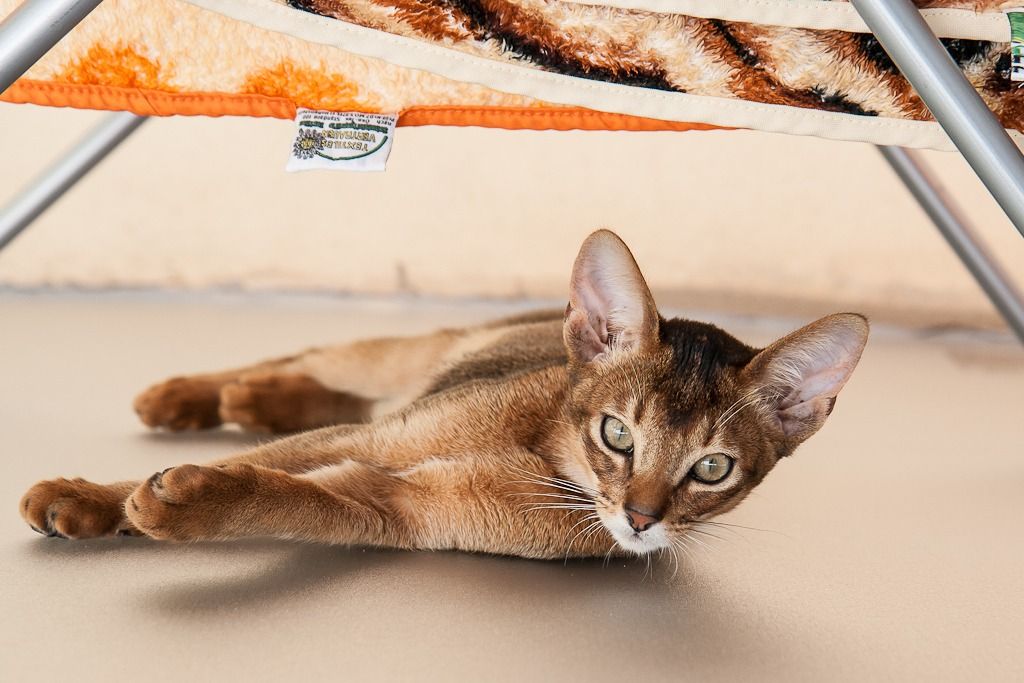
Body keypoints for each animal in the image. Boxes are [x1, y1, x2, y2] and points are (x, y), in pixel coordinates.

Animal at [19, 230, 868, 559]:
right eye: (617, 434)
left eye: (713, 468)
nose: (640, 518)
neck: (536, 458)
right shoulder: (373, 445)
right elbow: (265, 465)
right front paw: (86, 498)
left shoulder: (388, 505)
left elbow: (280, 496)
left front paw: (178, 507)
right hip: (406, 358)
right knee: (317, 360)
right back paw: (185, 395)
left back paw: (256, 399)